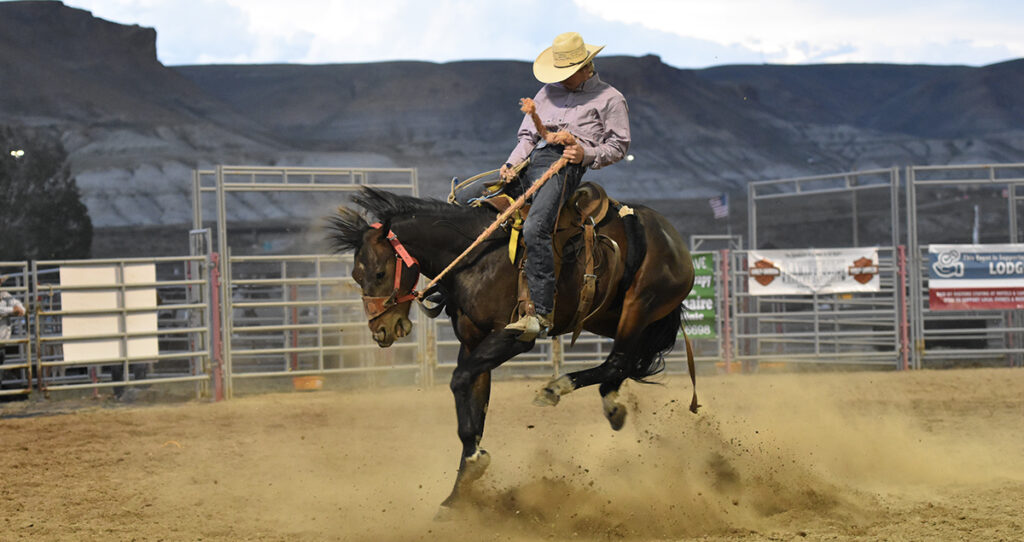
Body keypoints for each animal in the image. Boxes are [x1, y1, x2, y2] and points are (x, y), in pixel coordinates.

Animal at [328, 186, 697, 510]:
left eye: (379, 273)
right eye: (356, 275)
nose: (382, 330)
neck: (477, 256)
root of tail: (673, 239)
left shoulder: (513, 338)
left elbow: (459, 380)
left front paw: (472, 468)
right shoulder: (472, 344)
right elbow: (472, 410)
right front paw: (459, 493)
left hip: (640, 305)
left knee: (618, 361)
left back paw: (556, 388)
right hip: (607, 316)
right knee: (626, 361)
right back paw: (612, 405)